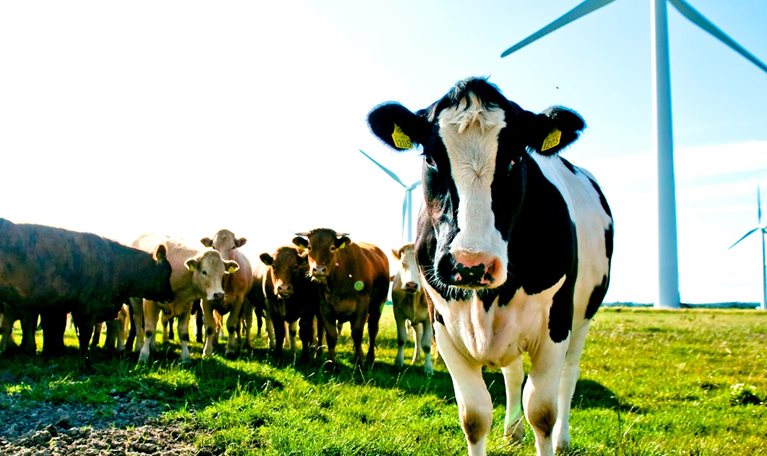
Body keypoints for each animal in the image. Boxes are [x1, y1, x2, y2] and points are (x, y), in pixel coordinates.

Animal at [0, 218, 175, 367]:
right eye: (167, 272)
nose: (171, 296)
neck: (115, 264)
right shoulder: (87, 309)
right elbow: (84, 335)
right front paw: (85, 364)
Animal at [131, 234, 239, 363]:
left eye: (222, 273)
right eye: (204, 272)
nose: (219, 295)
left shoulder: (186, 305)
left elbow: (183, 332)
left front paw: (185, 357)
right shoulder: (149, 302)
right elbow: (149, 330)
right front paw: (143, 355)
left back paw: (153, 347)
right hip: (136, 301)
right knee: (138, 322)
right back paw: (139, 347)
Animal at [200, 229, 253, 358]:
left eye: (233, 247)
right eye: (213, 246)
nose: (222, 264)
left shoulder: (238, 300)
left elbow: (232, 325)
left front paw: (230, 349)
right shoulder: (205, 301)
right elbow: (210, 326)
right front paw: (207, 351)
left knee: (240, 325)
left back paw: (240, 343)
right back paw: (214, 341)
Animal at [292, 229, 389, 369]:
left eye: (332, 247)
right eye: (309, 247)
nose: (319, 270)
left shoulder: (362, 306)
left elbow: (357, 334)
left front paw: (359, 363)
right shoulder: (325, 308)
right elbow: (331, 336)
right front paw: (330, 363)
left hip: (378, 305)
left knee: (372, 330)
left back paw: (370, 358)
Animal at [391, 243, 433, 375]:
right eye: (403, 263)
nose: (411, 285)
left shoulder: (429, 319)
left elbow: (427, 344)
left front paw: (428, 368)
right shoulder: (398, 314)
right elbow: (401, 339)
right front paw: (398, 362)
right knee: (417, 336)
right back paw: (416, 358)